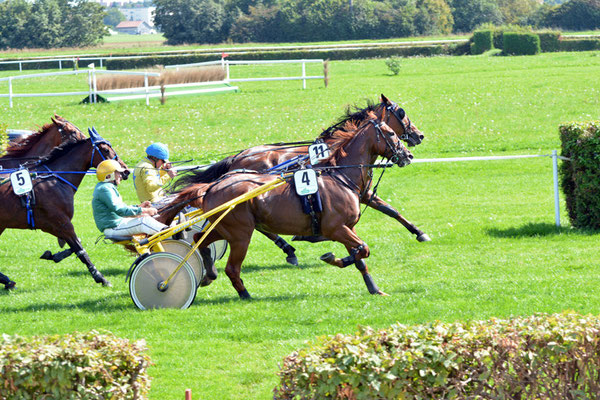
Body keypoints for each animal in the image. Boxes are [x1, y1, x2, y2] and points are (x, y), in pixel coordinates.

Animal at [0, 130, 127, 286]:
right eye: (106, 149)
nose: (125, 171)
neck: (55, 179)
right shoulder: (61, 223)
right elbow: (80, 249)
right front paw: (100, 278)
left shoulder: (52, 225)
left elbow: (74, 245)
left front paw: (55, 255)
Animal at [159, 111, 412, 296]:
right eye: (391, 132)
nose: (408, 155)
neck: (340, 174)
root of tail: (212, 187)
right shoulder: (336, 228)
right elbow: (363, 250)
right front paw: (331, 258)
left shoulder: (348, 227)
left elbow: (361, 255)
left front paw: (374, 288)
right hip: (241, 234)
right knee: (232, 267)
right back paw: (245, 294)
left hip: (224, 228)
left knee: (199, 240)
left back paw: (210, 272)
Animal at [171, 94, 428, 266]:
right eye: (402, 114)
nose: (419, 136)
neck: (338, 158)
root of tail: (238, 157)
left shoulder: (363, 193)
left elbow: (391, 210)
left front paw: (418, 232)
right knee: (261, 229)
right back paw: (290, 249)